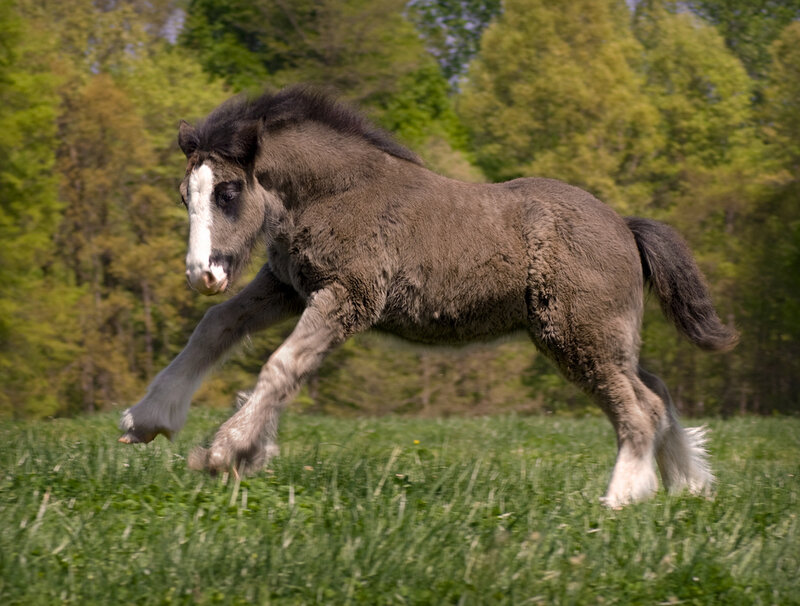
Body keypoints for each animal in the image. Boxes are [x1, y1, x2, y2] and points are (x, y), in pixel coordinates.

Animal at [118, 86, 737, 507]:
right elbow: (218, 327)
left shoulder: (349, 297)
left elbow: (281, 364)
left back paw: (622, 497)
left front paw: (228, 452)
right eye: (185, 196)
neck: (337, 193)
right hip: (601, 336)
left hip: (575, 334)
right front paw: (149, 418)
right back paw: (689, 483)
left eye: (227, 191)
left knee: (641, 405)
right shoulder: (290, 288)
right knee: (656, 389)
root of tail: (625, 227)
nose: (202, 273)